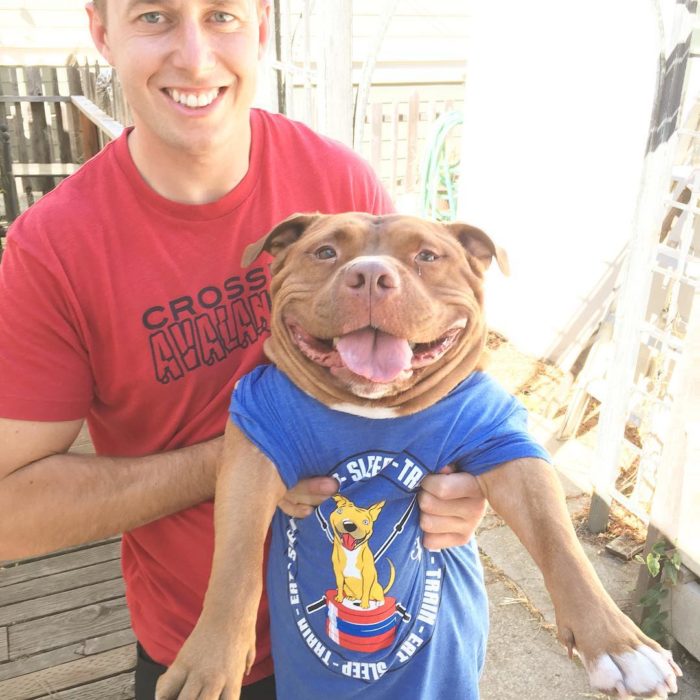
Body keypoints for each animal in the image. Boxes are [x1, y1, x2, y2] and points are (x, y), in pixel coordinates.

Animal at [156, 212, 680, 700]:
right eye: (325, 252)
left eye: (427, 256)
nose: (370, 275)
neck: (372, 406)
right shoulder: (253, 443)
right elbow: (235, 562)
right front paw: (209, 663)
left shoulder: (504, 446)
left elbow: (558, 540)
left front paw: (619, 645)